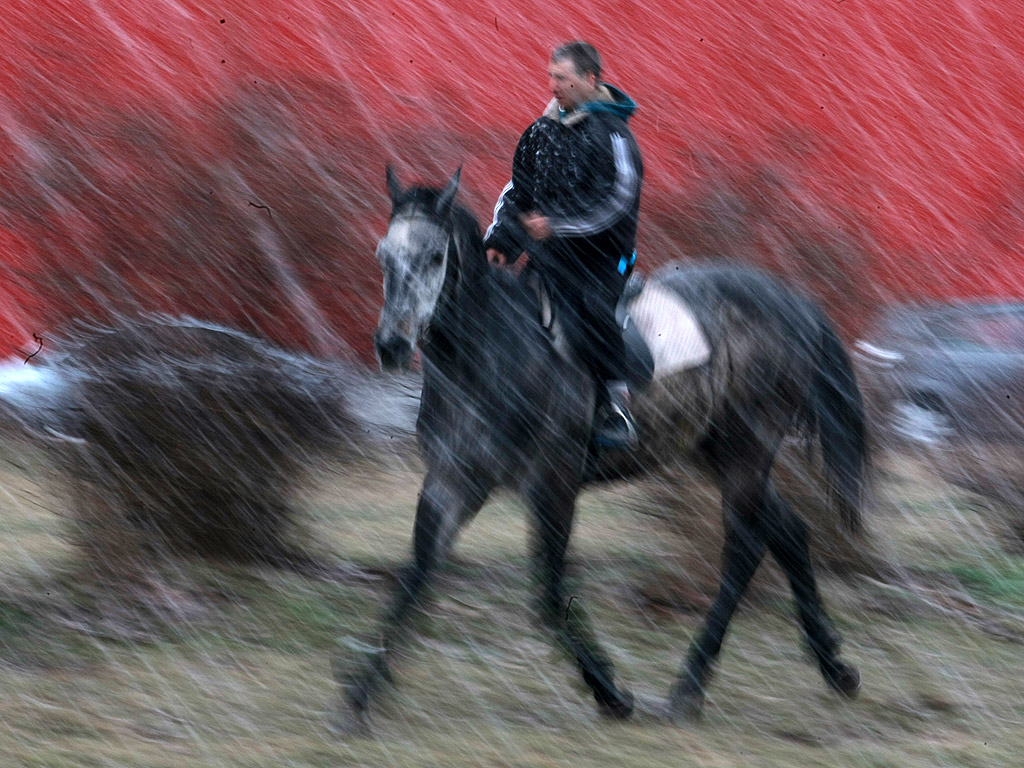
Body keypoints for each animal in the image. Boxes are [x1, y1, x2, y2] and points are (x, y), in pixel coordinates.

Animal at [339, 166, 868, 733]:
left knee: (745, 550)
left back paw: (689, 687)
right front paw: (359, 696)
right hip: (714, 450)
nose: (391, 346)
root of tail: (790, 301)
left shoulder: (552, 485)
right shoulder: (452, 481)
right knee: (788, 533)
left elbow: (548, 594)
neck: (488, 354)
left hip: (747, 450)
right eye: (384, 256)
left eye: (435, 257)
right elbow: (416, 575)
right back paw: (834, 667)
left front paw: (610, 692)